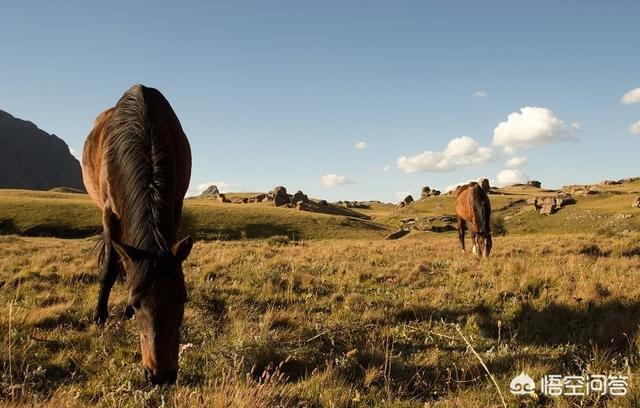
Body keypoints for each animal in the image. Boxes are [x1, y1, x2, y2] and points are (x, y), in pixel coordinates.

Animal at [82, 84, 192, 384]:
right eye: (136, 300)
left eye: (182, 299)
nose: (160, 375)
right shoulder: (109, 212)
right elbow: (109, 268)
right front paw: (100, 316)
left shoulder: (176, 204)